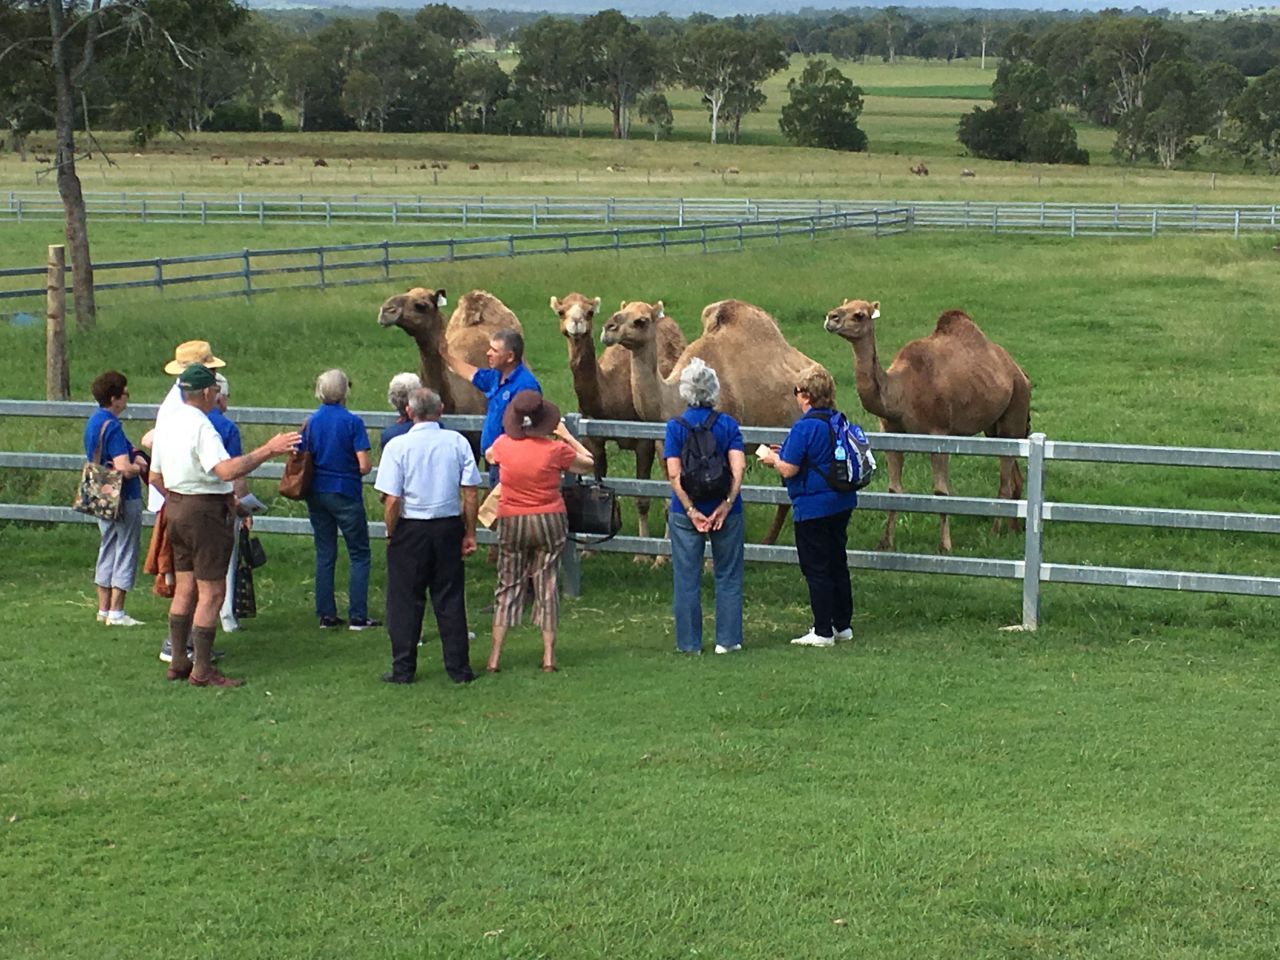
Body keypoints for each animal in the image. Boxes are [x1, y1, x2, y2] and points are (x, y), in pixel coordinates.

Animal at [552, 293, 691, 542]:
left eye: (589, 312)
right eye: (561, 311)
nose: (576, 323)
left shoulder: (644, 440)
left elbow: (642, 497)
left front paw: (644, 546)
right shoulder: (594, 438)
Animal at [824, 300, 1034, 555]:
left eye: (859, 315)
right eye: (842, 305)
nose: (831, 317)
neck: (901, 392)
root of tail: (1019, 371)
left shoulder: (939, 432)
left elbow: (941, 492)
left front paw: (945, 546)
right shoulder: (891, 433)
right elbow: (893, 490)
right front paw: (885, 543)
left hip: (1016, 408)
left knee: (1004, 480)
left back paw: (995, 532)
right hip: (995, 427)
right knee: (1014, 475)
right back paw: (1014, 529)